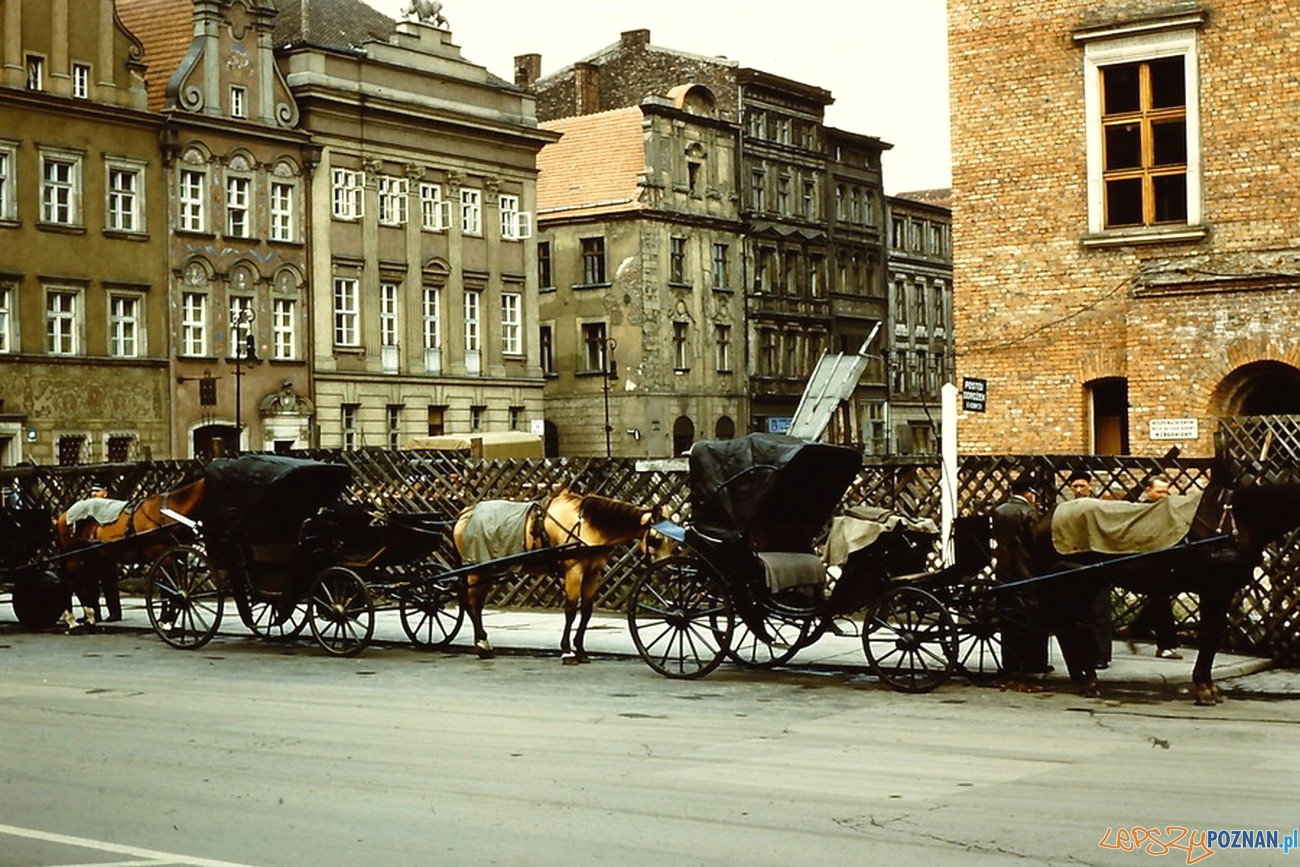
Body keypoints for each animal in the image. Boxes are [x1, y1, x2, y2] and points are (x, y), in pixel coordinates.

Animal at [54, 480, 204, 631]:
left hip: (91, 558)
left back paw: (90, 617)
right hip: (74, 557)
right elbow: (168, 589)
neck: (168, 511)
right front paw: (166, 621)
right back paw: (72, 621)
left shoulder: (177, 557)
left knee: (81, 583)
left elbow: (171, 588)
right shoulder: (165, 558)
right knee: (70, 582)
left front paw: (169, 620)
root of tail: (64, 515)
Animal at [452, 488, 665, 665]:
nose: (663, 572)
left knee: (476, 605)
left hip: (488, 571)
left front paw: (580, 650)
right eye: (656, 539)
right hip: (476, 571)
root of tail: (466, 513)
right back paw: (482, 645)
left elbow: (586, 611)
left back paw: (483, 643)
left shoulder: (592, 573)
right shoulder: (574, 572)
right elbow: (570, 610)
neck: (585, 525)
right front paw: (567, 651)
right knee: (470, 604)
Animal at [1024, 478, 1300, 707]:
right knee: (1066, 627)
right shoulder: (1214, 589)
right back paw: (1084, 679)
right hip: (1069, 583)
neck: (1236, 520)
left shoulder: (1224, 591)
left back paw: (1087, 679)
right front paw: (1204, 689)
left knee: (1068, 627)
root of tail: (1043, 520)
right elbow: (1209, 636)